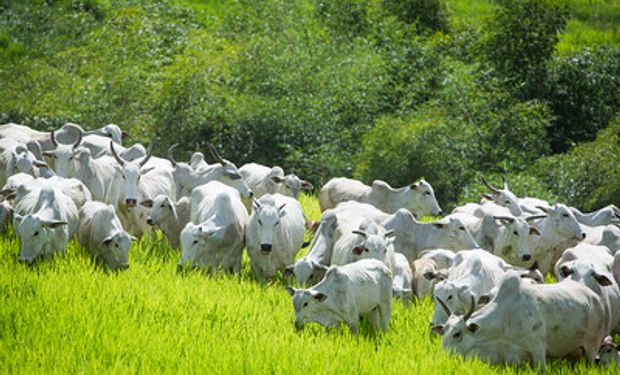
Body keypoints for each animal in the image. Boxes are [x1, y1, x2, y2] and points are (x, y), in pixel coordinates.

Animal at [434, 272, 608, 372]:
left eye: (457, 334)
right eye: (443, 331)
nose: (442, 355)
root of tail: (595, 297)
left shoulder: (538, 351)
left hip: (591, 349)